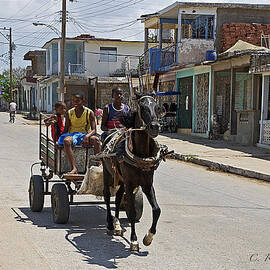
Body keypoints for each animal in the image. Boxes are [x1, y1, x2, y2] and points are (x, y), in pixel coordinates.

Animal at [102, 90, 168, 251]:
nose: (155, 127)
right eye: (142, 107)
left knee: (118, 198)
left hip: (120, 180)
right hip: (107, 174)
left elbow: (157, 210)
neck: (141, 154)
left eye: (157, 107)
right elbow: (131, 212)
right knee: (107, 197)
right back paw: (110, 225)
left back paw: (117, 225)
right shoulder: (130, 183)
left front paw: (148, 237)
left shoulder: (147, 184)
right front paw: (134, 240)